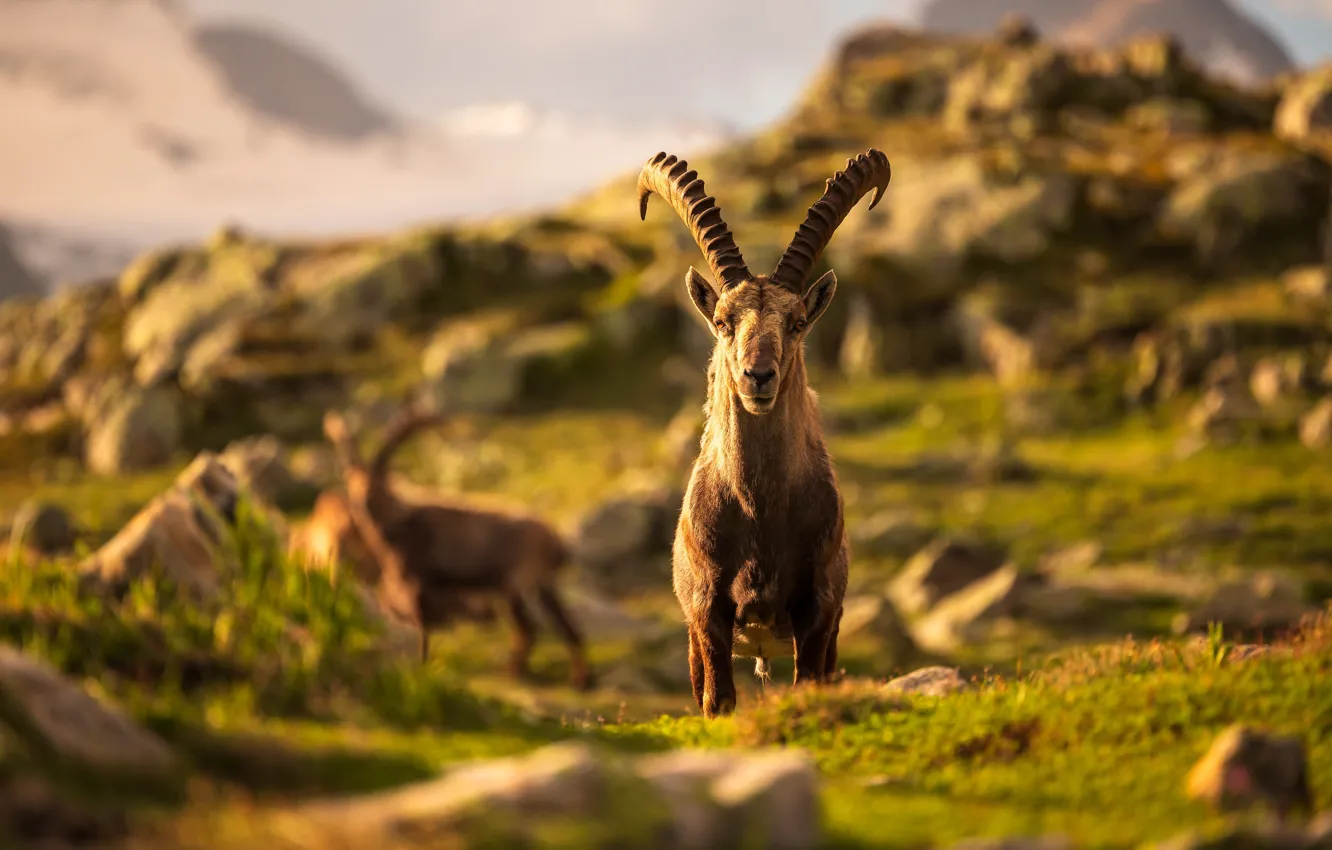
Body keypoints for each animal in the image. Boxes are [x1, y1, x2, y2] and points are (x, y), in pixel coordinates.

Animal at [320, 406, 591, 689]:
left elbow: (422, 627)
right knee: (566, 628)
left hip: (514, 585)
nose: (361, 502)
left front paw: (423, 665)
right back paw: (578, 679)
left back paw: (517, 673)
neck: (398, 524)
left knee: (530, 629)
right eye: (351, 480)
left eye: (380, 479)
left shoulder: (416, 580)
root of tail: (557, 543)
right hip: (542, 585)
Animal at [638, 148, 891, 717]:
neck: (759, 509)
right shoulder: (707, 612)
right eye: (723, 320)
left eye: (796, 322)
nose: (758, 376)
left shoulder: (818, 610)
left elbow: (808, 682)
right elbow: (718, 701)